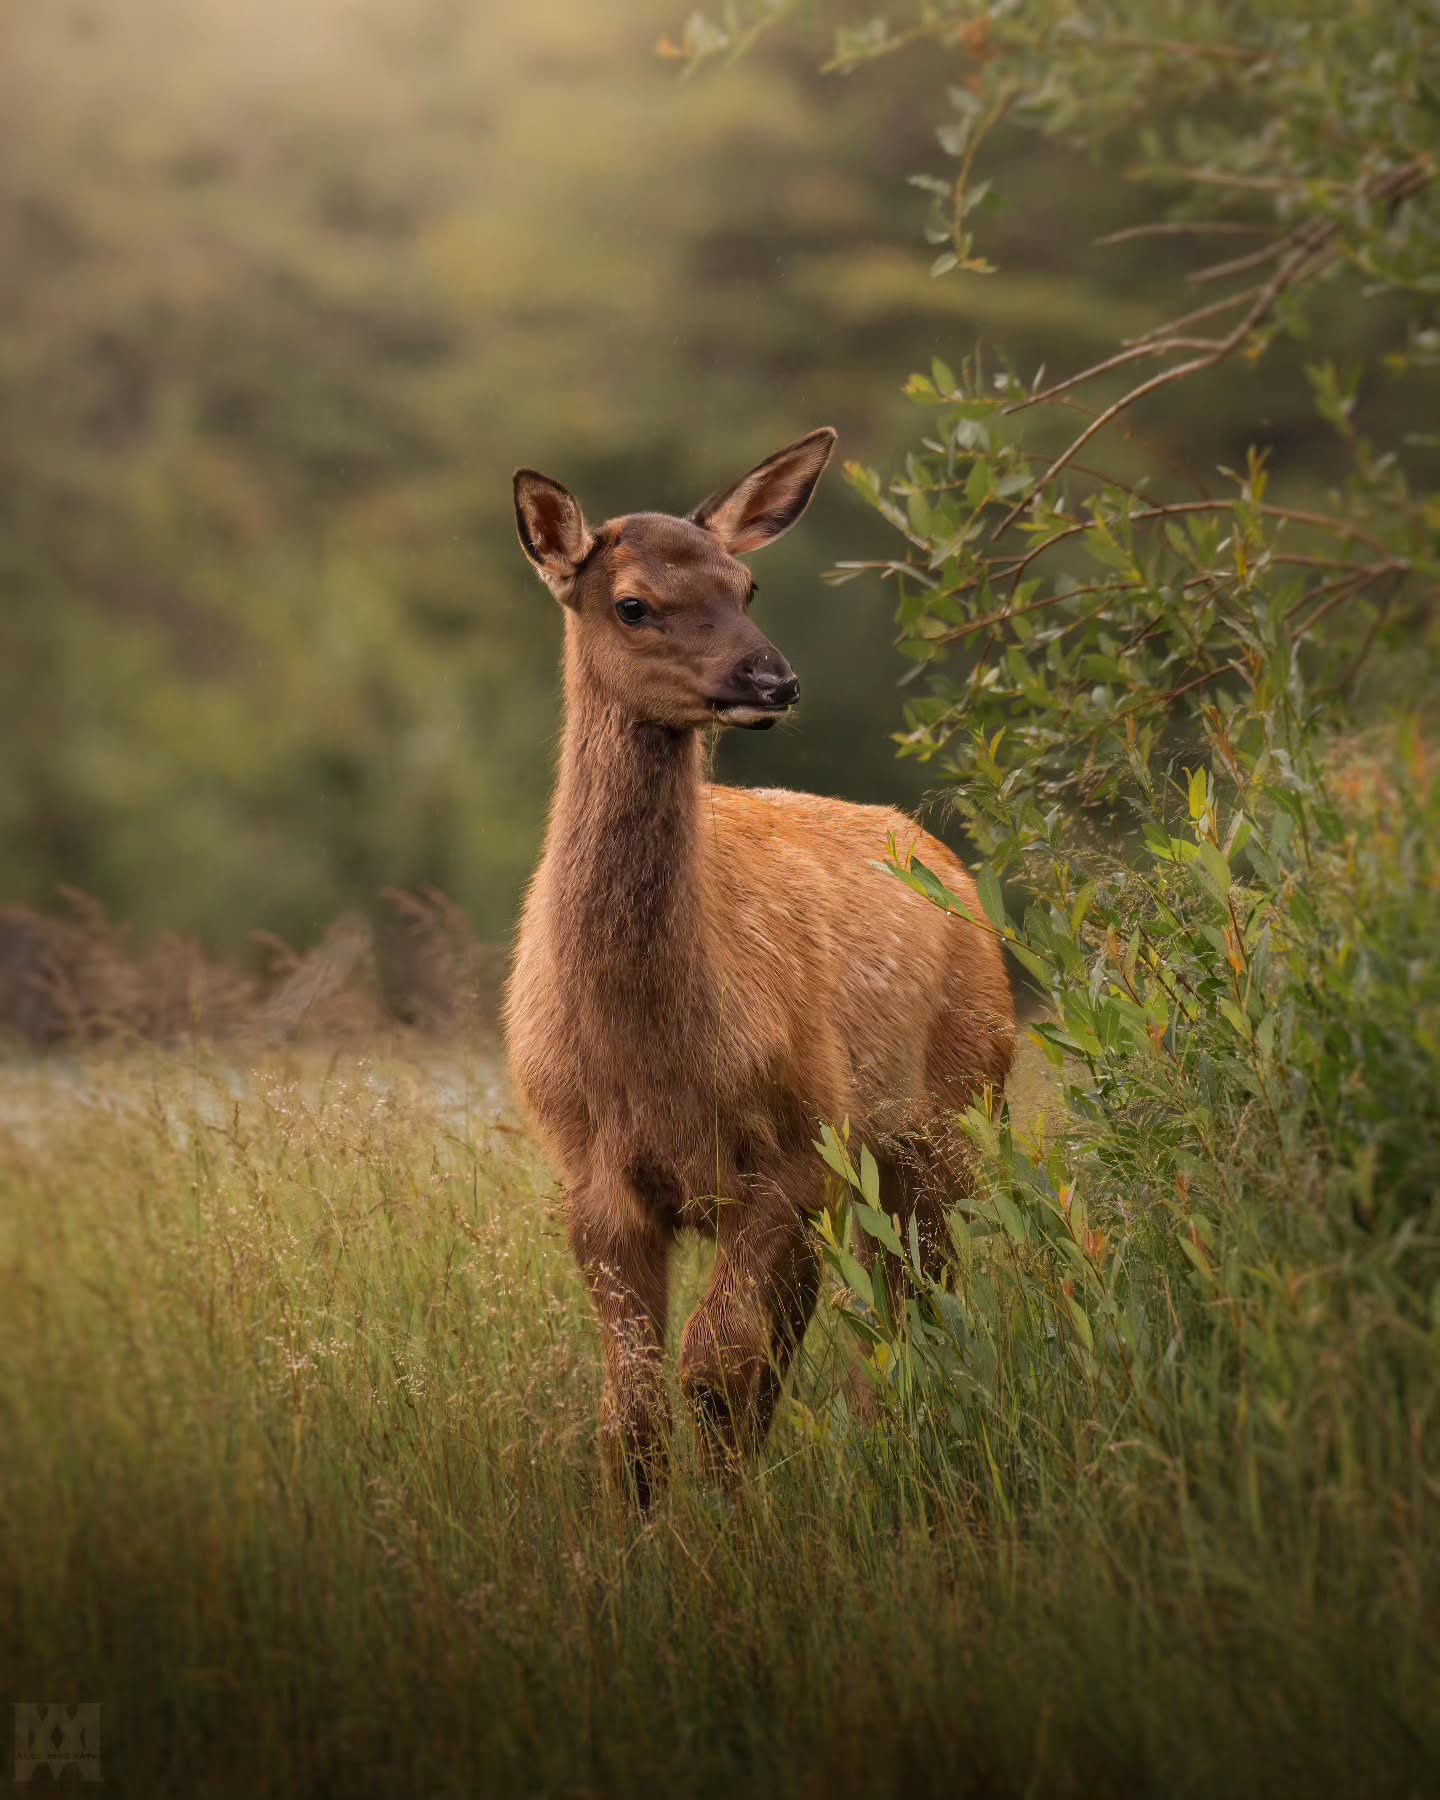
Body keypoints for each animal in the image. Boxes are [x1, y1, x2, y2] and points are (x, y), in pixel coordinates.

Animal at [504, 428, 1014, 1507]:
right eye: (632, 603)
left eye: (748, 584)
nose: (773, 681)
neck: (652, 1056)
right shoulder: (592, 1177)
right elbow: (633, 1405)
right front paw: (651, 1531)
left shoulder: (794, 1147)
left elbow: (719, 1363)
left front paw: (737, 1523)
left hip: (948, 1116)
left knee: (913, 1303)